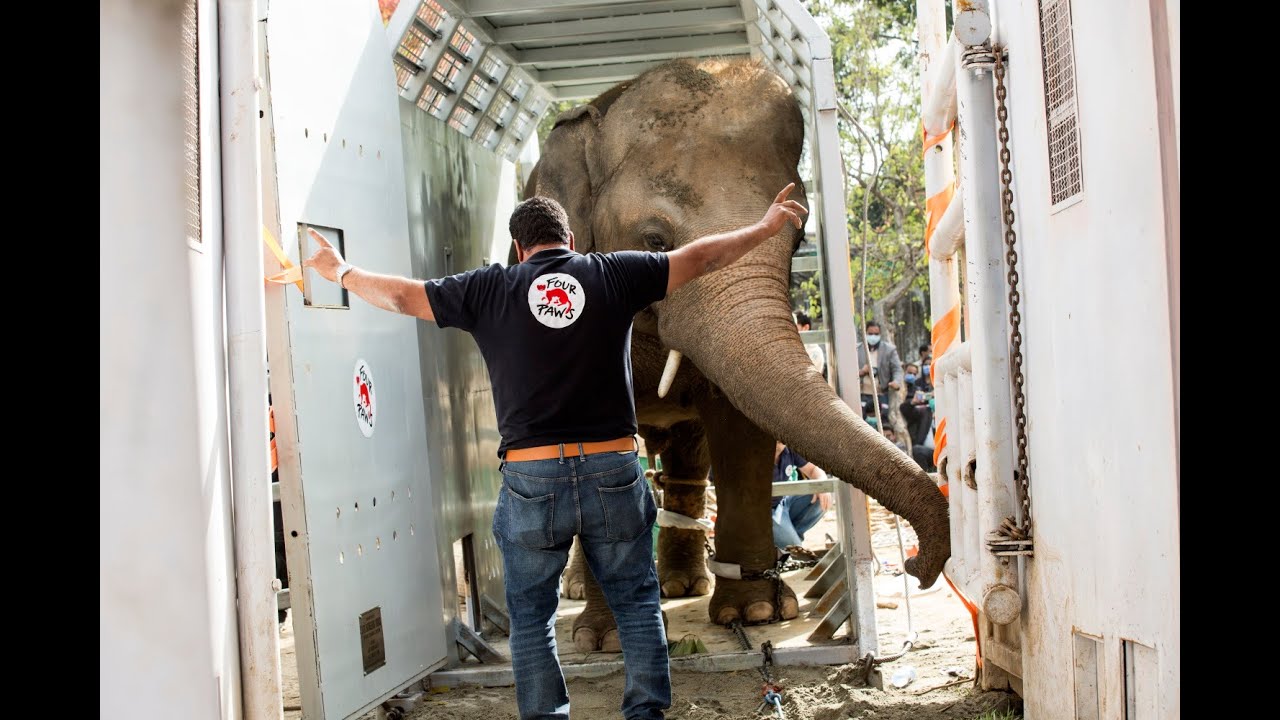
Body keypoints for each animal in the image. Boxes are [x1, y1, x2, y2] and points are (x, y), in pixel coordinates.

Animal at [519, 57, 949, 652]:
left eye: (798, 237)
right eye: (654, 240)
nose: (916, 566)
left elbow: (740, 429)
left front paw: (757, 614)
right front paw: (606, 643)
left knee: (686, 465)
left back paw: (682, 585)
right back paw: (583, 591)